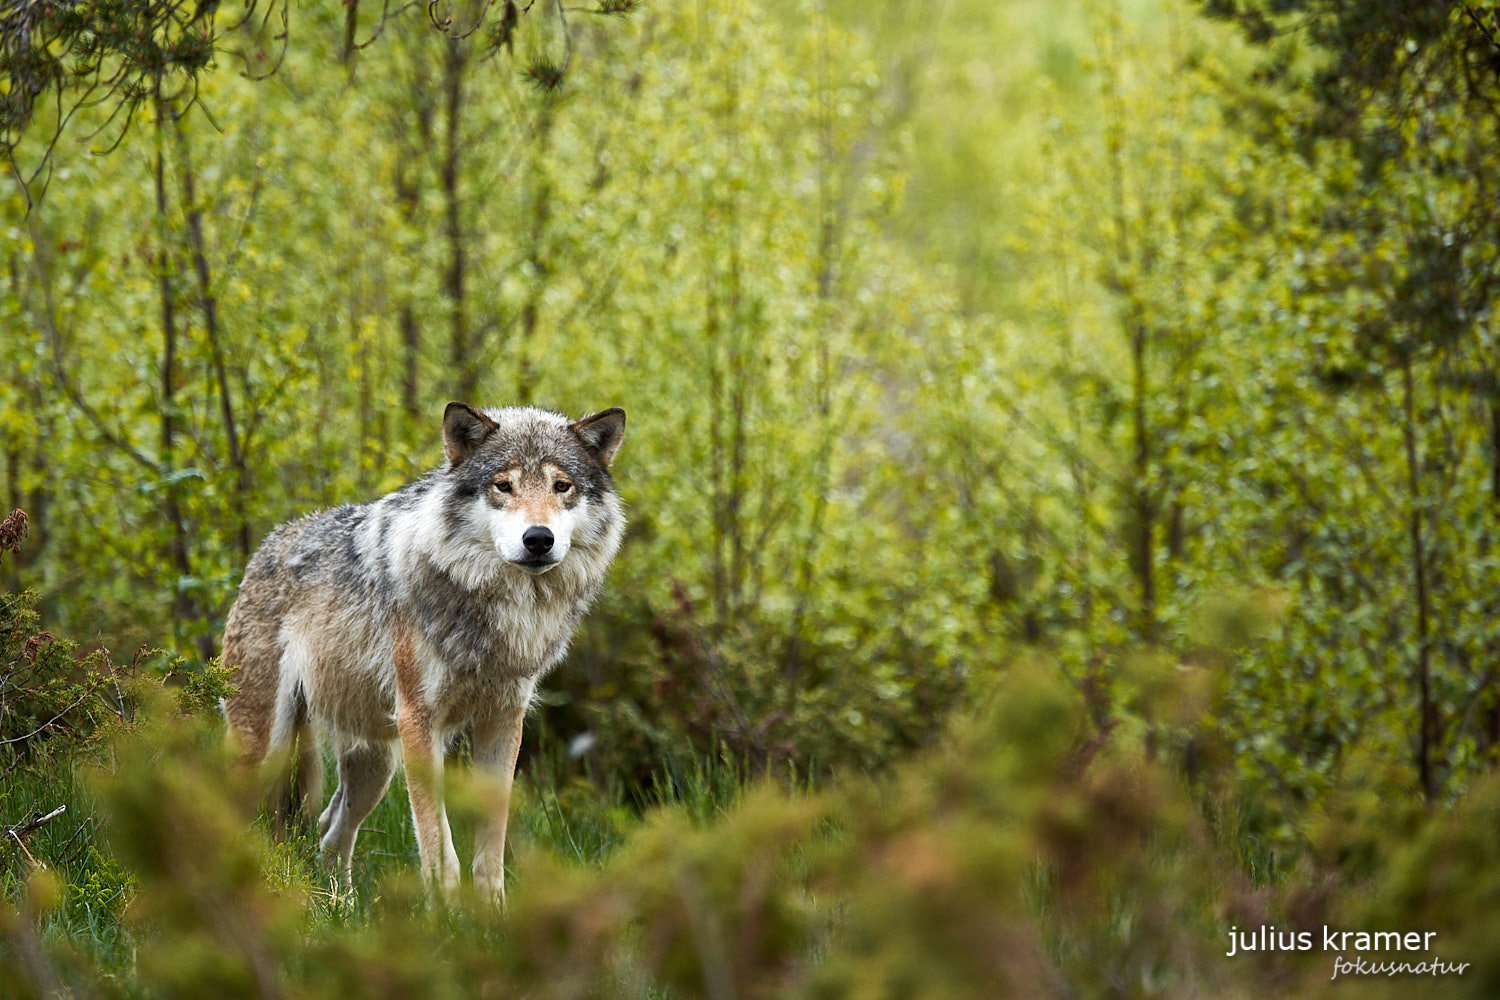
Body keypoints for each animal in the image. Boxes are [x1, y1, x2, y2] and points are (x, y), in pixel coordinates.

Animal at [219, 401, 624, 905]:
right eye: (503, 485)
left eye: (561, 486)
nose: (538, 538)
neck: (495, 608)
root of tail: (264, 548)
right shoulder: (419, 721)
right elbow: (438, 846)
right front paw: (445, 914)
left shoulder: (504, 719)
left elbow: (491, 846)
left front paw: (493, 913)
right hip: (266, 750)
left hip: (374, 764)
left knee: (329, 829)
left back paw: (343, 909)